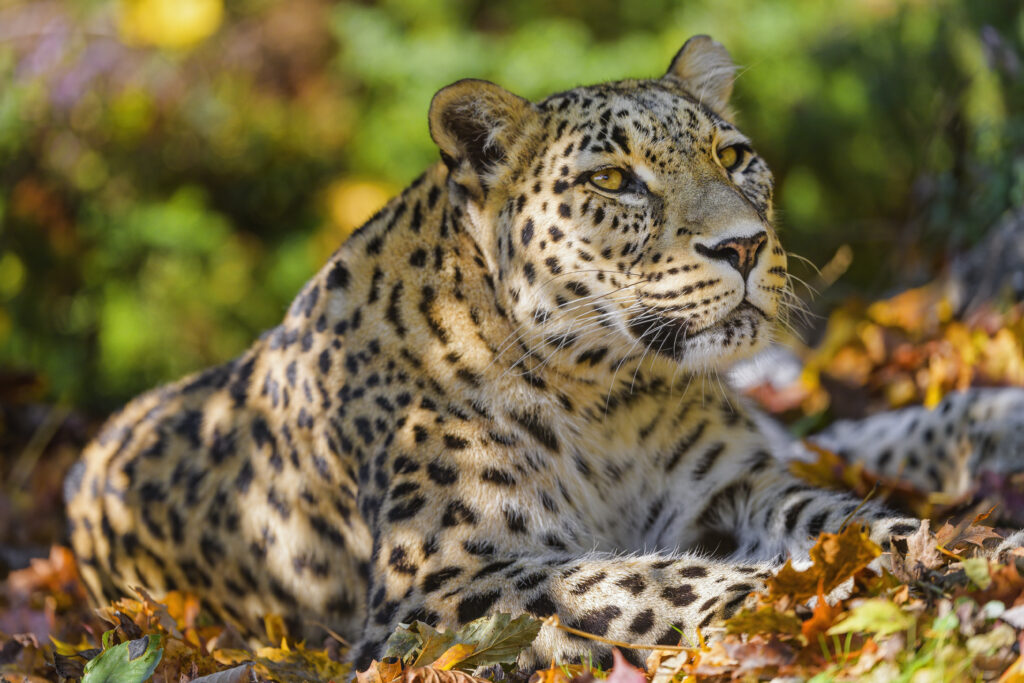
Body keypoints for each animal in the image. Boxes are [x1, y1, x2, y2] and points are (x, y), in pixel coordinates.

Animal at [64, 35, 1024, 671]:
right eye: (613, 181)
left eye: (734, 155)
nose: (746, 246)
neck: (613, 398)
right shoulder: (438, 588)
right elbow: (644, 583)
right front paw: (823, 599)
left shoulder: (732, 487)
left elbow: (850, 522)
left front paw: (958, 558)